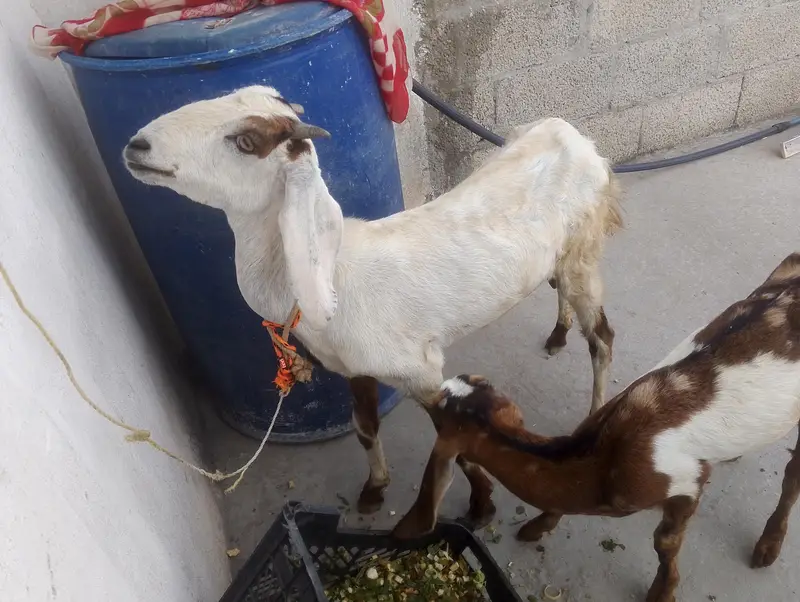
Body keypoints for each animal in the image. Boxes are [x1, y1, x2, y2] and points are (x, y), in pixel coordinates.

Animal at [122, 85, 622, 520]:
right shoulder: (355, 369)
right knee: (560, 293)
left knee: (601, 336)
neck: (336, 275)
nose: (137, 145)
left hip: (584, 249)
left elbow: (457, 449)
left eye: (246, 142)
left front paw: (481, 507)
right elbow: (365, 429)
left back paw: (594, 417)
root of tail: (572, 134)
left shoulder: (422, 373)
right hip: (562, 255)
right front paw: (373, 490)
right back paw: (557, 334)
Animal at [392, 253, 800, 602]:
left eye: (437, 414)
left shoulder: (686, 482)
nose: (436, 386)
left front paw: (662, 592)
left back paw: (767, 547)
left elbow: (665, 543)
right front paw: (535, 528)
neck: (603, 458)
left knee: (792, 473)